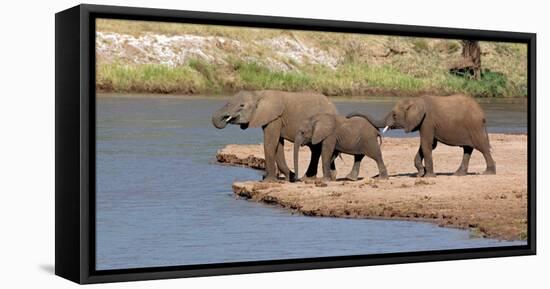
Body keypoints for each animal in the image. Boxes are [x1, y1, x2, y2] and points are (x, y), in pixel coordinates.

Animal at [352, 94, 498, 176]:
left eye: (394, 115)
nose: (349, 116)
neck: (415, 101)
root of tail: (482, 113)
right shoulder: (426, 122)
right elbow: (429, 145)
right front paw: (421, 173)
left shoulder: (427, 120)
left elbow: (426, 144)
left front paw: (428, 176)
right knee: (468, 149)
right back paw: (458, 174)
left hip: (475, 126)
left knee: (482, 147)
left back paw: (488, 173)